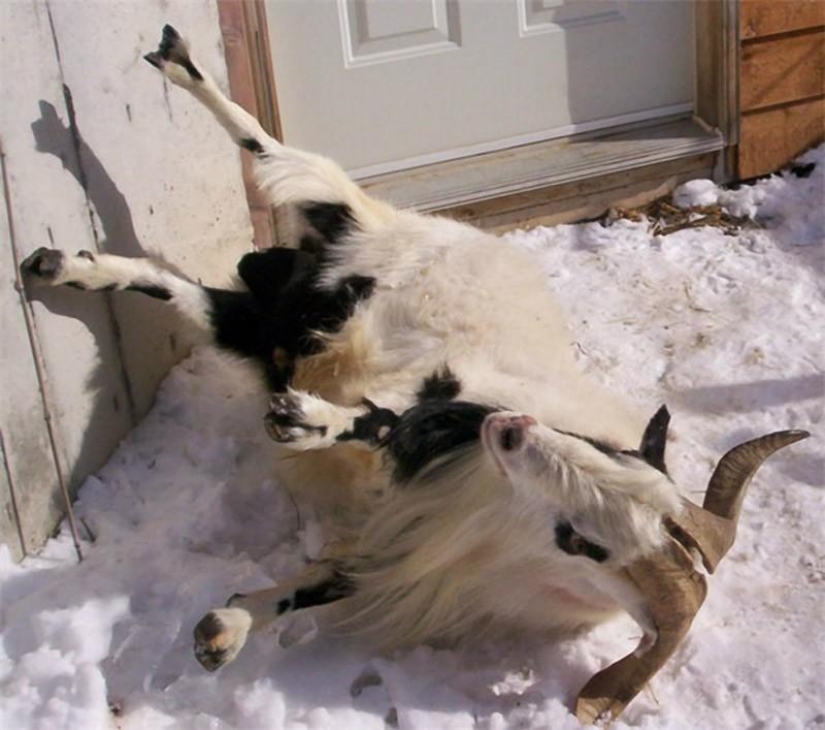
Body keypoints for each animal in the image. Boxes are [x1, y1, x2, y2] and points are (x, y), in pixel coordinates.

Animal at [21, 26, 807, 724]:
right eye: (602, 458)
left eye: (586, 544)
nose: (514, 433)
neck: (496, 523)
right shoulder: (449, 400)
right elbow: (387, 420)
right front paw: (307, 422)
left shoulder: (407, 539)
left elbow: (327, 580)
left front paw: (225, 630)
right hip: (339, 225)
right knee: (275, 151)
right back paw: (170, 65)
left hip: (269, 332)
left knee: (187, 293)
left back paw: (63, 266)